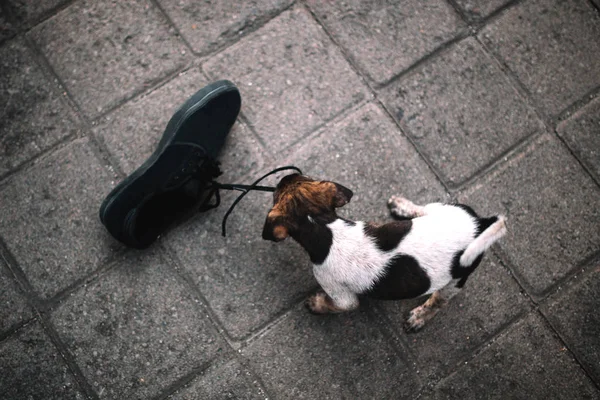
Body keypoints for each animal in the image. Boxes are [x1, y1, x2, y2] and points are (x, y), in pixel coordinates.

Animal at [262, 173, 506, 332]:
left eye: (275, 195)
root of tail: (480, 224)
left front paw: (317, 304)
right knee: (423, 210)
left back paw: (419, 317)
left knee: (439, 301)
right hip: (441, 210)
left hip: (456, 280)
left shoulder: (341, 296)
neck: (323, 228)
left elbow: (335, 305)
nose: (285, 176)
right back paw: (402, 208)